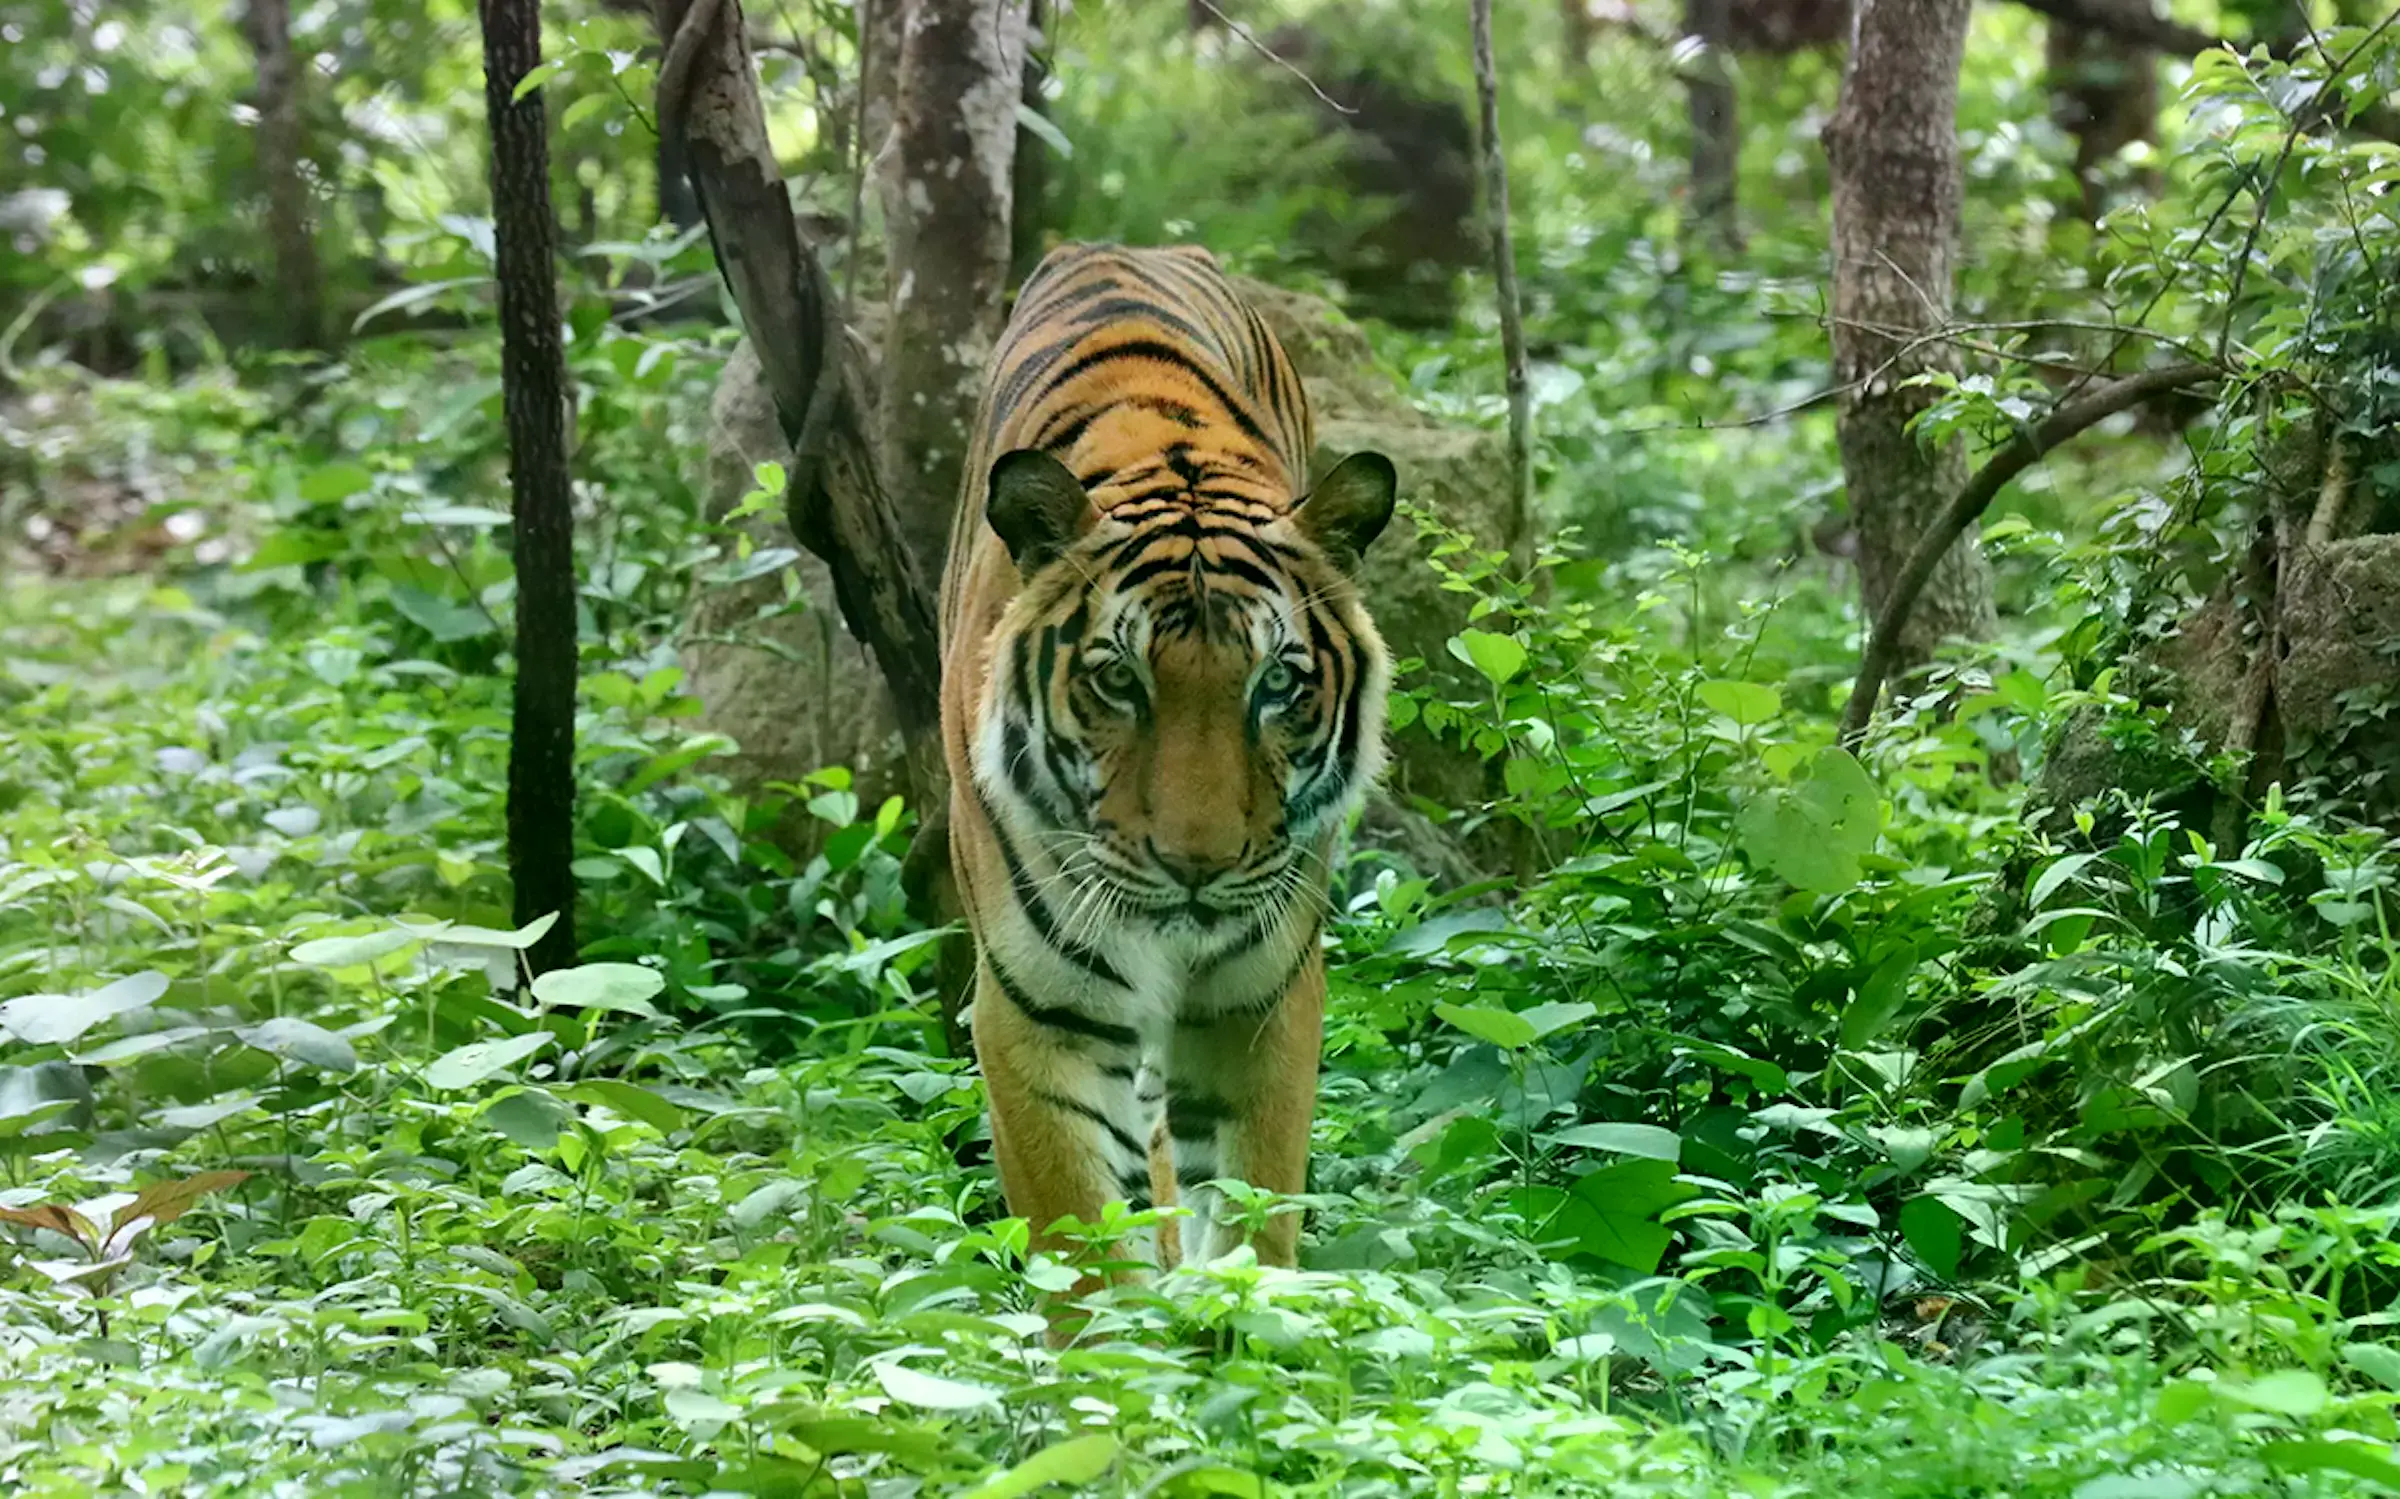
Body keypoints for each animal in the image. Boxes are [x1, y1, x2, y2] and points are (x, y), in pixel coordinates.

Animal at [938, 242, 1397, 1285]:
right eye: (1118, 679)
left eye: (1277, 684)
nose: (1198, 866)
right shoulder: (1037, 1010)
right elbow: (1082, 1254)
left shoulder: (1262, 995)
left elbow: (1256, 1220)